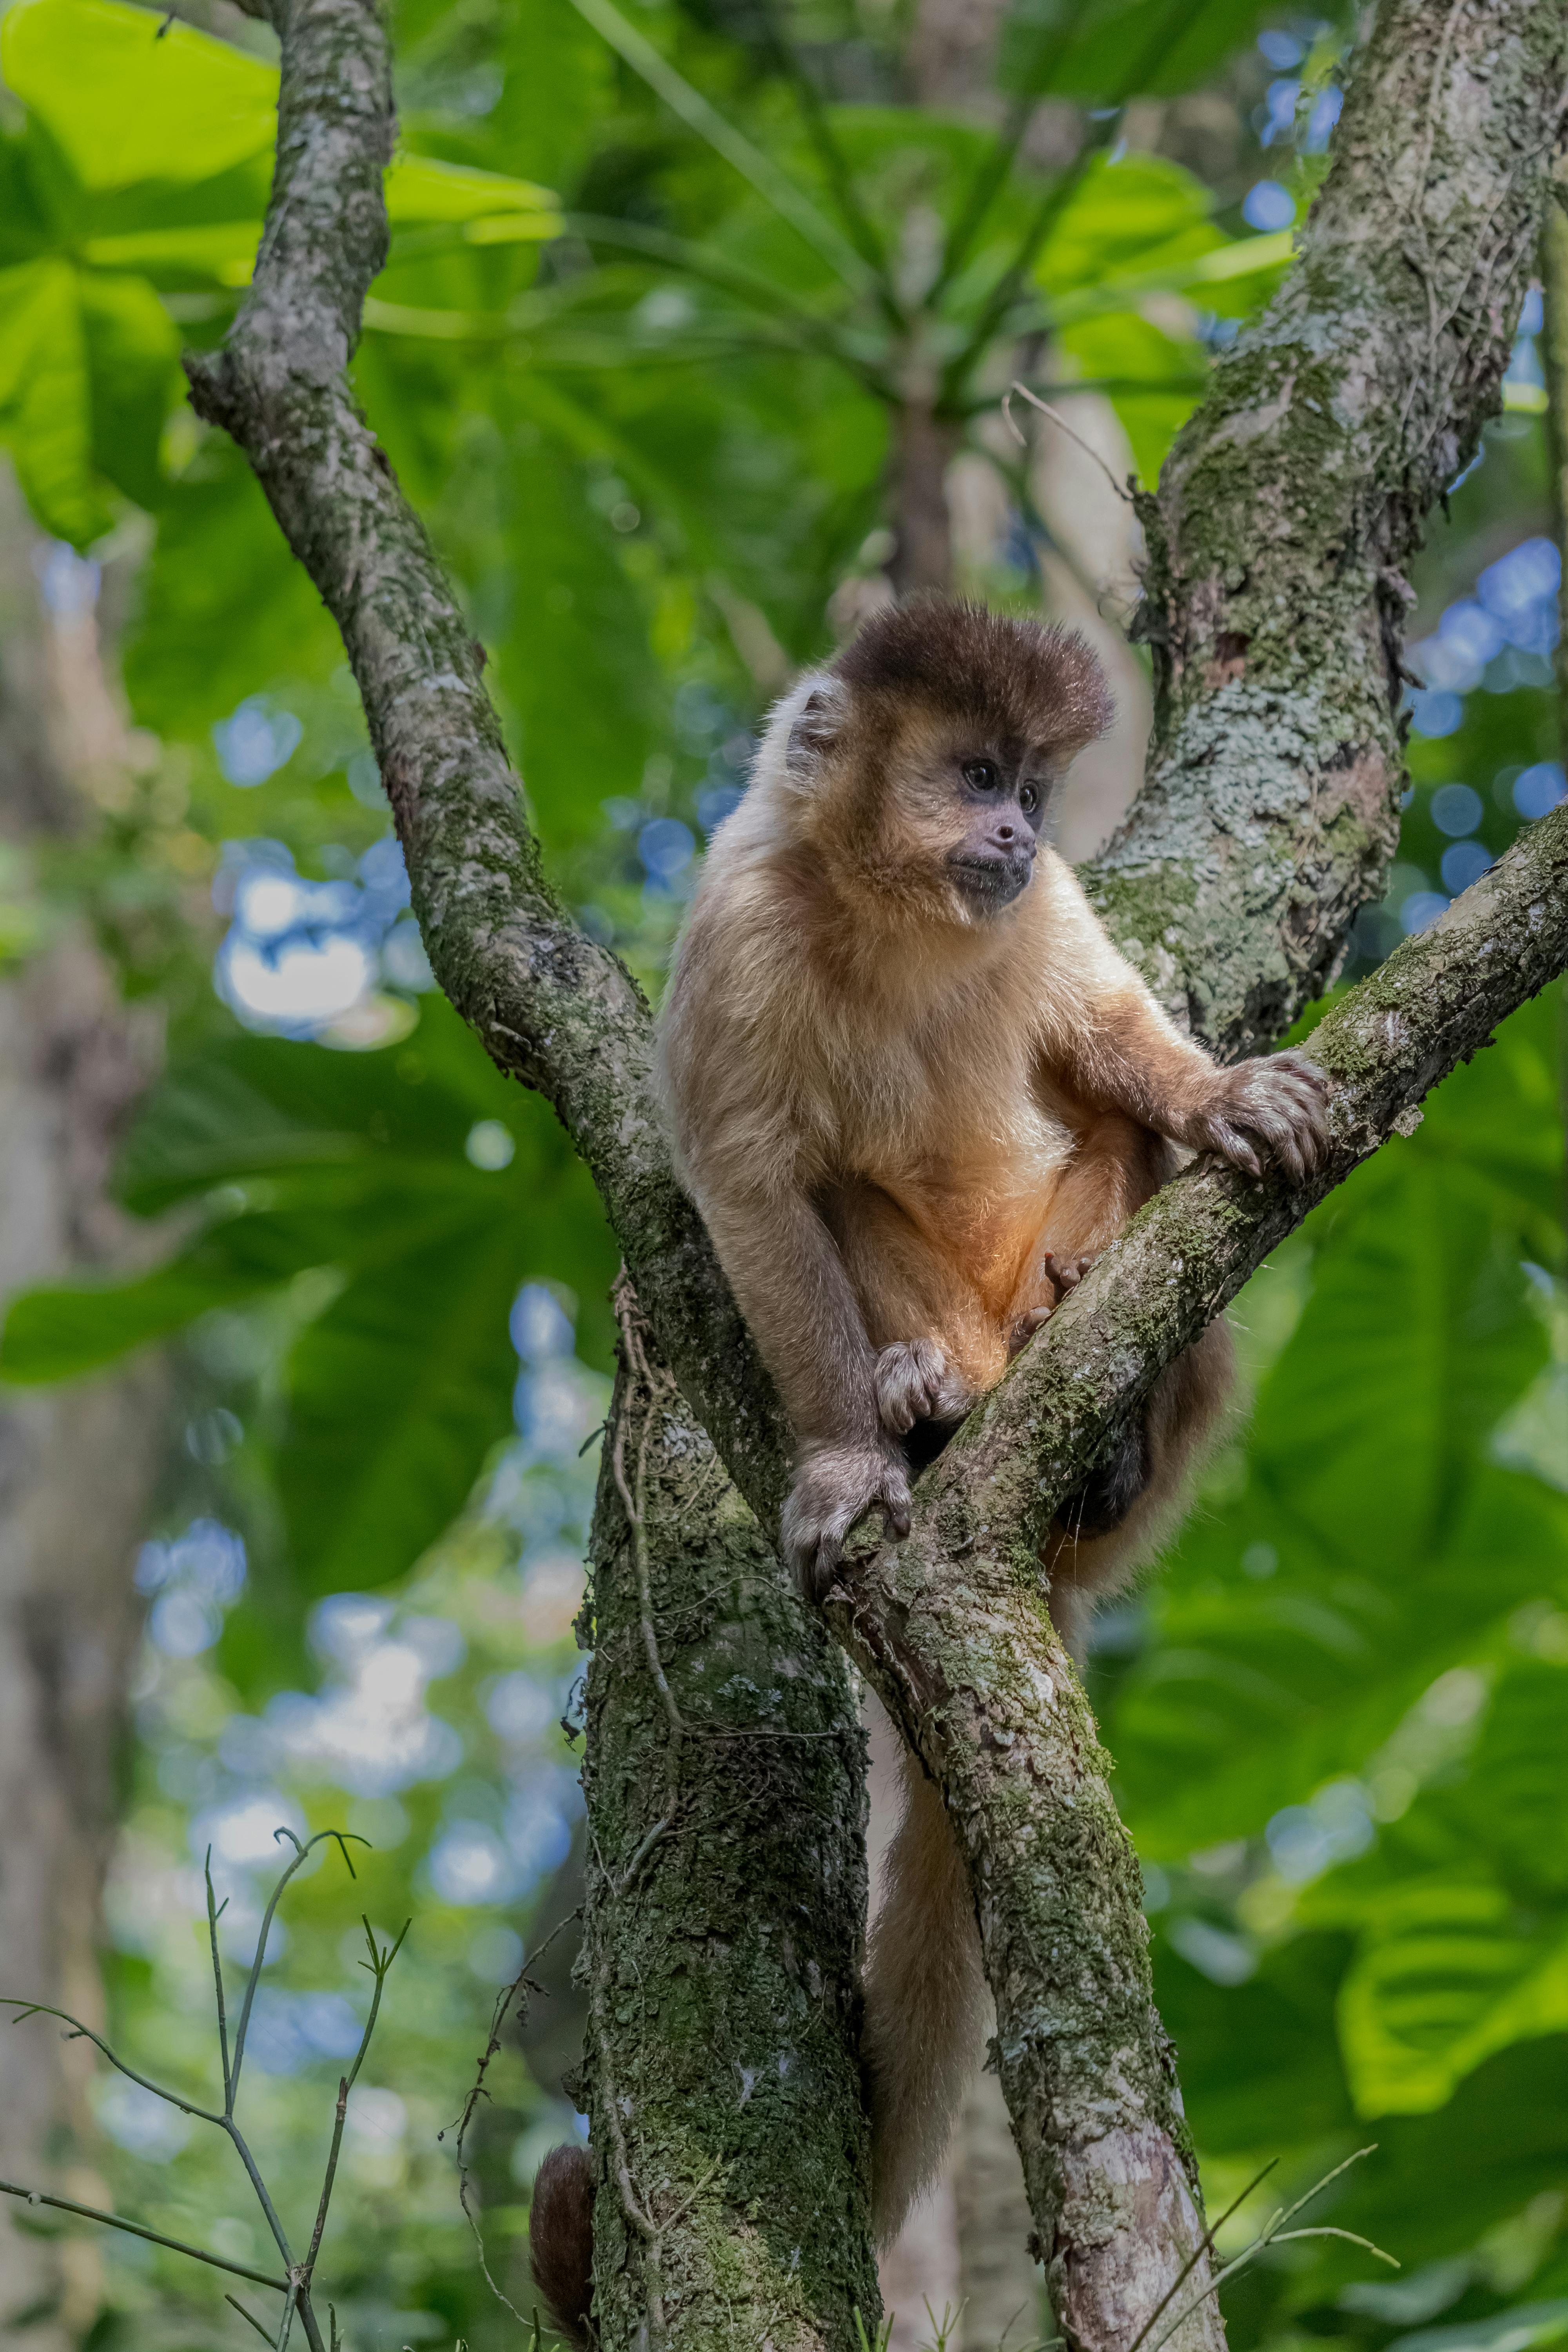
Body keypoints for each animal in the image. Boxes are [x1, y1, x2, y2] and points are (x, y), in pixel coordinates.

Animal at [531, 597, 1335, 2324]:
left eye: (1032, 783)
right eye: (975, 774)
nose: (1023, 829)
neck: (888, 908)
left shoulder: (1047, 916)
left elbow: (1109, 1035)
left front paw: (1219, 1094)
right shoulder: (739, 920)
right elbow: (752, 1190)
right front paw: (849, 1458)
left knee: (1117, 1162)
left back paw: (1101, 1426)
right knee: (841, 1206)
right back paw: (926, 1400)